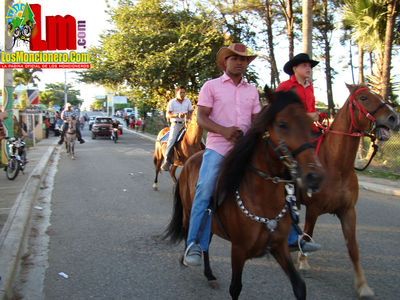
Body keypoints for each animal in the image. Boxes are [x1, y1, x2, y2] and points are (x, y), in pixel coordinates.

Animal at [164, 90, 326, 298]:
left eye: (309, 123)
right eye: (282, 124)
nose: (315, 176)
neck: (262, 200)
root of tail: (191, 159)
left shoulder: (279, 246)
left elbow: (299, 285)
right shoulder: (239, 250)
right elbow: (235, 288)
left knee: (206, 242)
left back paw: (209, 274)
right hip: (188, 212)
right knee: (193, 234)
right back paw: (190, 256)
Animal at [298, 82, 398, 298]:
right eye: (364, 98)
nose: (394, 117)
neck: (336, 166)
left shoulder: (348, 211)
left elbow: (353, 248)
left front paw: (363, 285)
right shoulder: (313, 209)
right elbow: (308, 232)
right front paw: (303, 263)